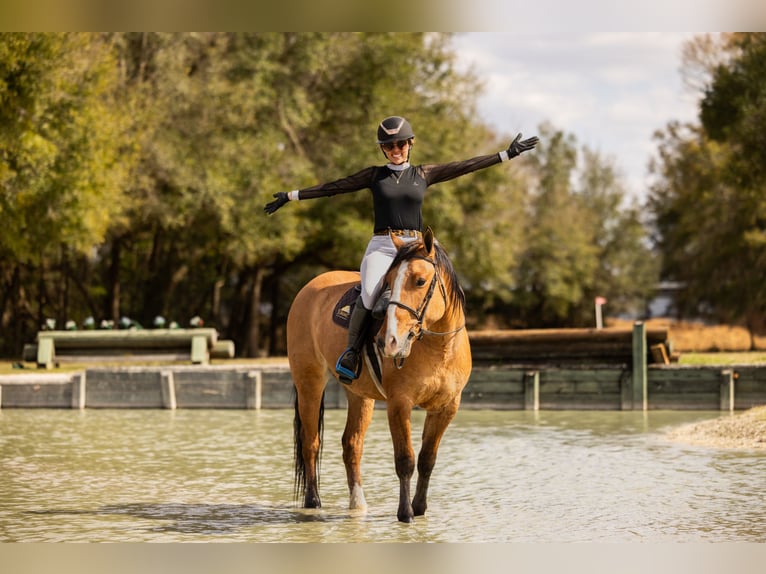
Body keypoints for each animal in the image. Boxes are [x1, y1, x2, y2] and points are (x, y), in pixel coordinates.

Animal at [286, 227, 472, 523]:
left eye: (420, 281)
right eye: (389, 281)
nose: (390, 342)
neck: (438, 347)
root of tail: (311, 286)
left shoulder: (446, 407)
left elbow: (427, 459)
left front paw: (420, 508)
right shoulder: (399, 403)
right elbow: (406, 460)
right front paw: (405, 513)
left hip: (359, 395)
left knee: (351, 444)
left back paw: (358, 504)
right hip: (309, 383)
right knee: (310, 442)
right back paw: (313, 502)